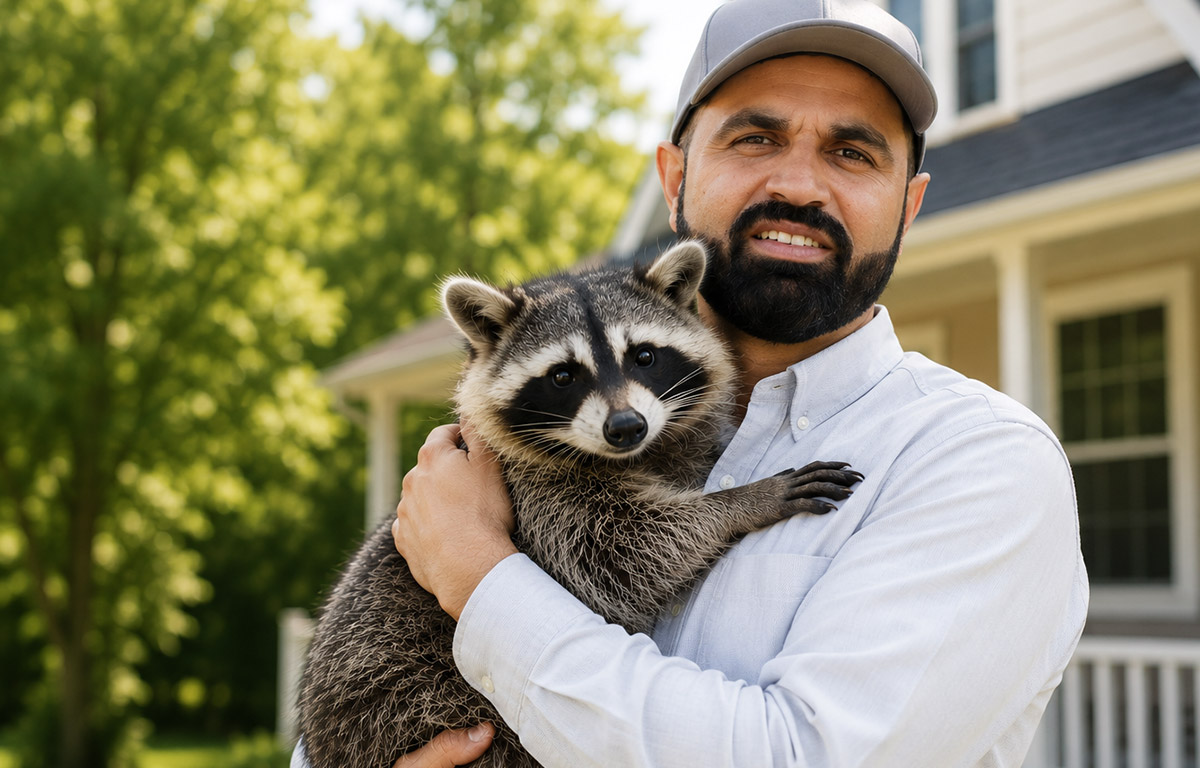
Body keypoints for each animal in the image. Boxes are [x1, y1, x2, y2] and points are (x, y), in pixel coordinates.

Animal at [298, 241, 861, 768]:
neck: (629, 455)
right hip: (421, 698)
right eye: (563, 376)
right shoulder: (536, 496)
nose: (627, 426)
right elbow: (623, 552)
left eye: (644, 357)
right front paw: (742, 501)